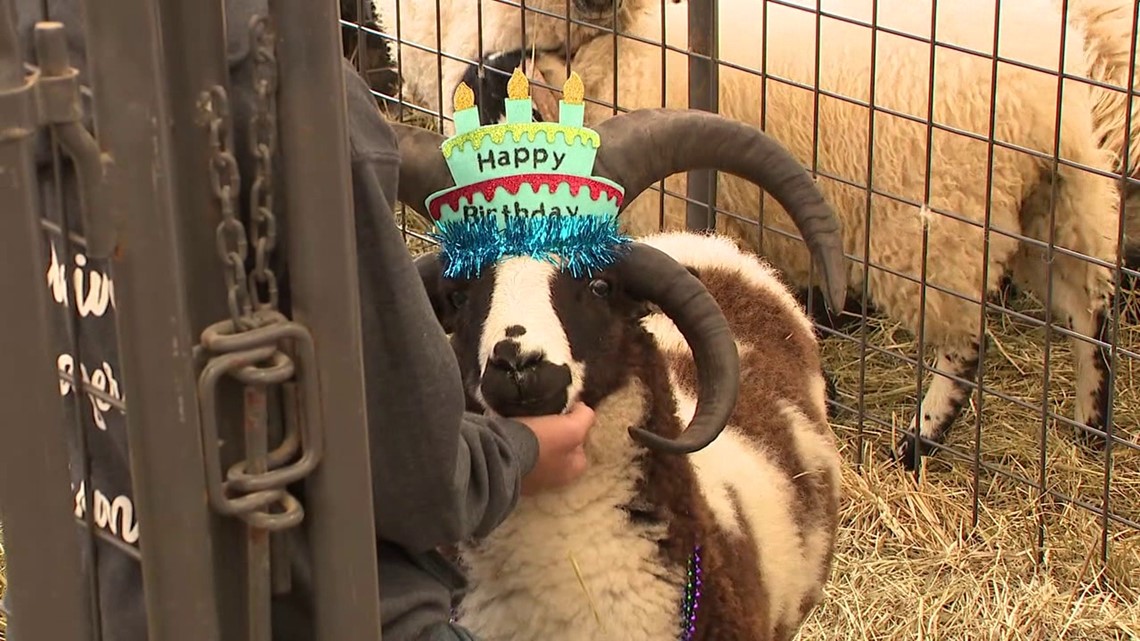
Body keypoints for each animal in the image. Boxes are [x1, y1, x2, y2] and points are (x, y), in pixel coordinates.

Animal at [524, 0, 1123, 469]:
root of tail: (1042, 97)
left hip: (937, 223)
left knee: (965, 339)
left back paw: (919, 440)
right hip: (1062, 201)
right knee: (1088, 308)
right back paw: (1091, 424)